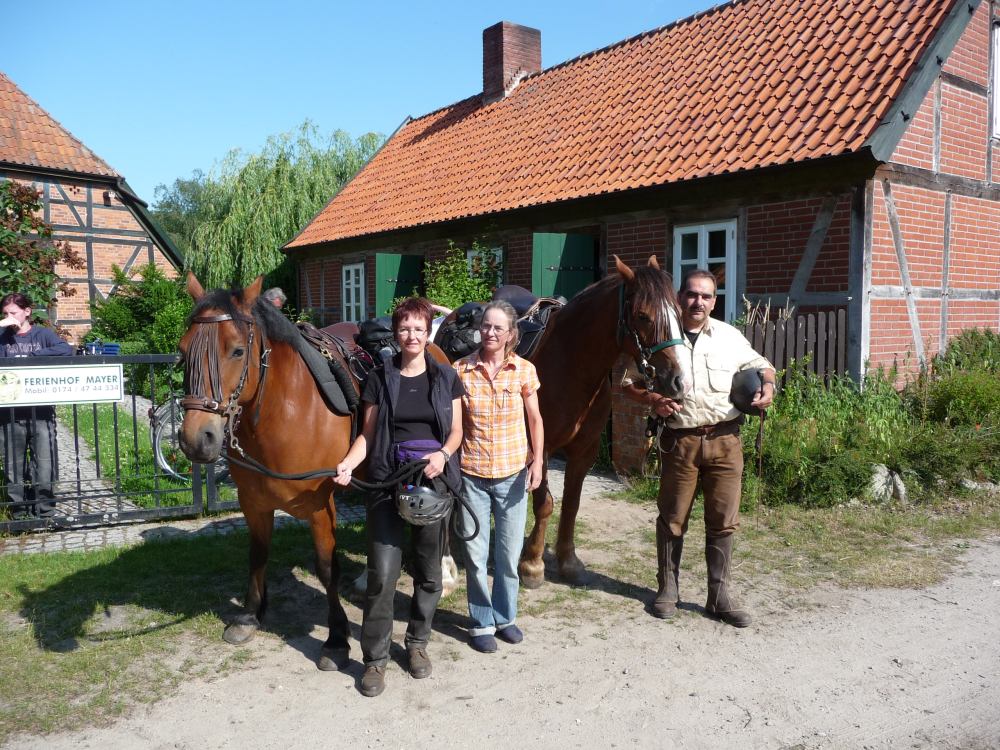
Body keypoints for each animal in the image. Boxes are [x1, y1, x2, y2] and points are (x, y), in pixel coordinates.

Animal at [178, 274, 354, 672]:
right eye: (182, 352)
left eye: (237, 351)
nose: (197, 439)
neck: (285, 412)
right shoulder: (253, 503)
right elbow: (257, 554)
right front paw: (250, 615)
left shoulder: (321, 508)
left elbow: (327, 568)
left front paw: (337, 638)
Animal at [520, 256, 692, 592]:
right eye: (643, 316)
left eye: (679, 313)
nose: (680, 381)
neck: (569, 364)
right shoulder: (540, 447)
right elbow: (545, 504)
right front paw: (532, 565)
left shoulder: (583, 451)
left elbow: (571, 504)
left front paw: (568, 562)